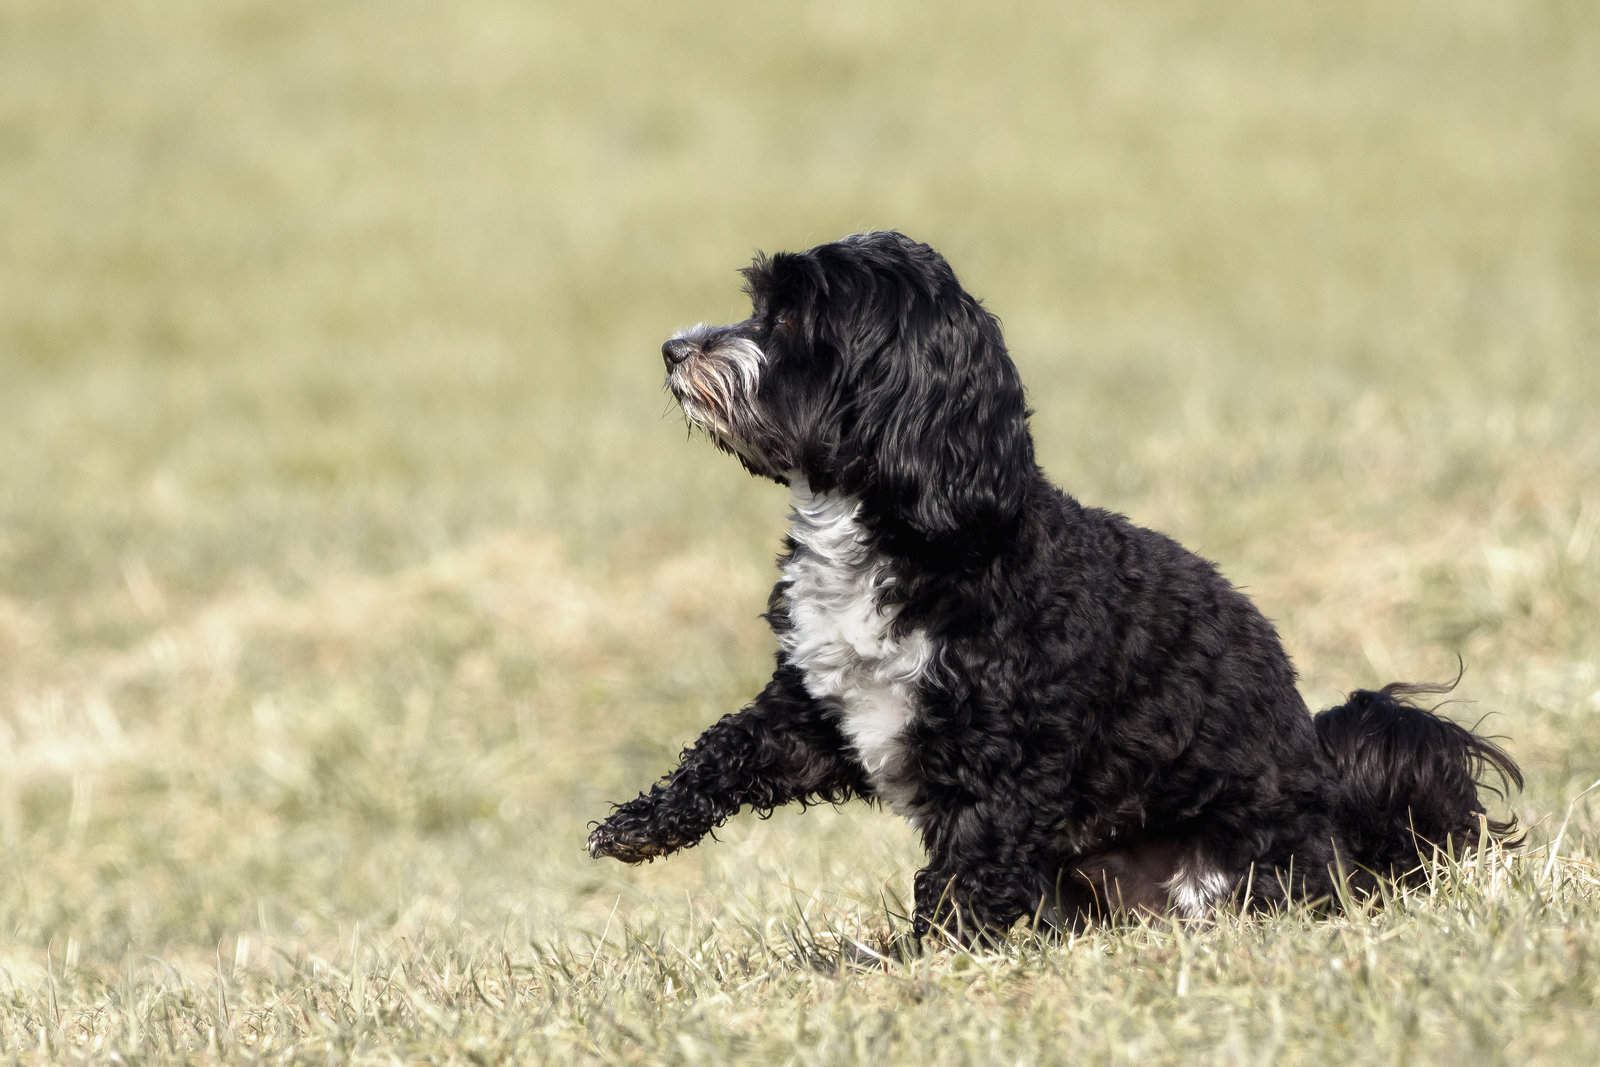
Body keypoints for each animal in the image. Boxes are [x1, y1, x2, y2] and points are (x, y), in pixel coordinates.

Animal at [592, 230, 1523, 940]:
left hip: (1250, 866)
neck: (913, 532)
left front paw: (921, 963)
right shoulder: (831, 710)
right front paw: (639, 824)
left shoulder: (1003, 763)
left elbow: (965, 873)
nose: (674, 347)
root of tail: (1343, 834)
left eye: (787, 317)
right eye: (759, 304)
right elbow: (733, 743)